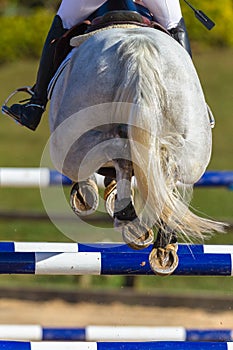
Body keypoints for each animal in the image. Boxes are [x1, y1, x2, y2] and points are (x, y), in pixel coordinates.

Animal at [48, 19, 226, 276]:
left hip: (72, 140)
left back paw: (128, 220)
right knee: (166, 166)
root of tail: (138, 52)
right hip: (193, 149)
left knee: (118, 154)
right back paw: (162, 244)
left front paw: (89, 197)